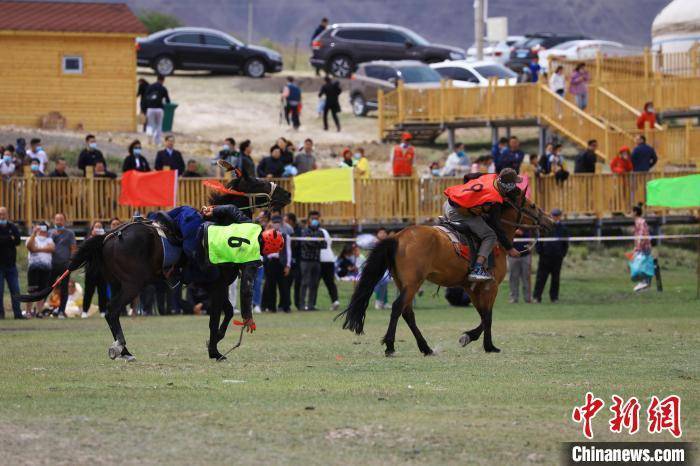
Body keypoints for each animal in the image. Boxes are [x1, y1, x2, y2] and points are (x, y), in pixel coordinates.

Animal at [17, 171, 290, 360]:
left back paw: (124, 349)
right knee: (113, 311)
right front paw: (215, 349)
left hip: (118, 283)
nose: (286, 194)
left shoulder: (215, 286)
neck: (221, 224)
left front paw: (217, 343)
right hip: (133, 285)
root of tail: (108, 235)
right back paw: (122, 349)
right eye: (257, 181)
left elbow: (228, 310)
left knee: (112, 313)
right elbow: (218, 316)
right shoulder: (218, 284)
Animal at [338, 189, 552, 356]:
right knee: (398, 308)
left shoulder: (472, 287)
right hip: (413, 283)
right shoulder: (491, 286)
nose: (549, 221)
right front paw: (486, 345)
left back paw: (425, 348)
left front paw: (471, 337)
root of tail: (398, 236)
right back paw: (390, 346)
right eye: (532, 205)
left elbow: (483, 315)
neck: (497, 239)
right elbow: (488, 316)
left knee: (408, 312)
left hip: (403, 283)